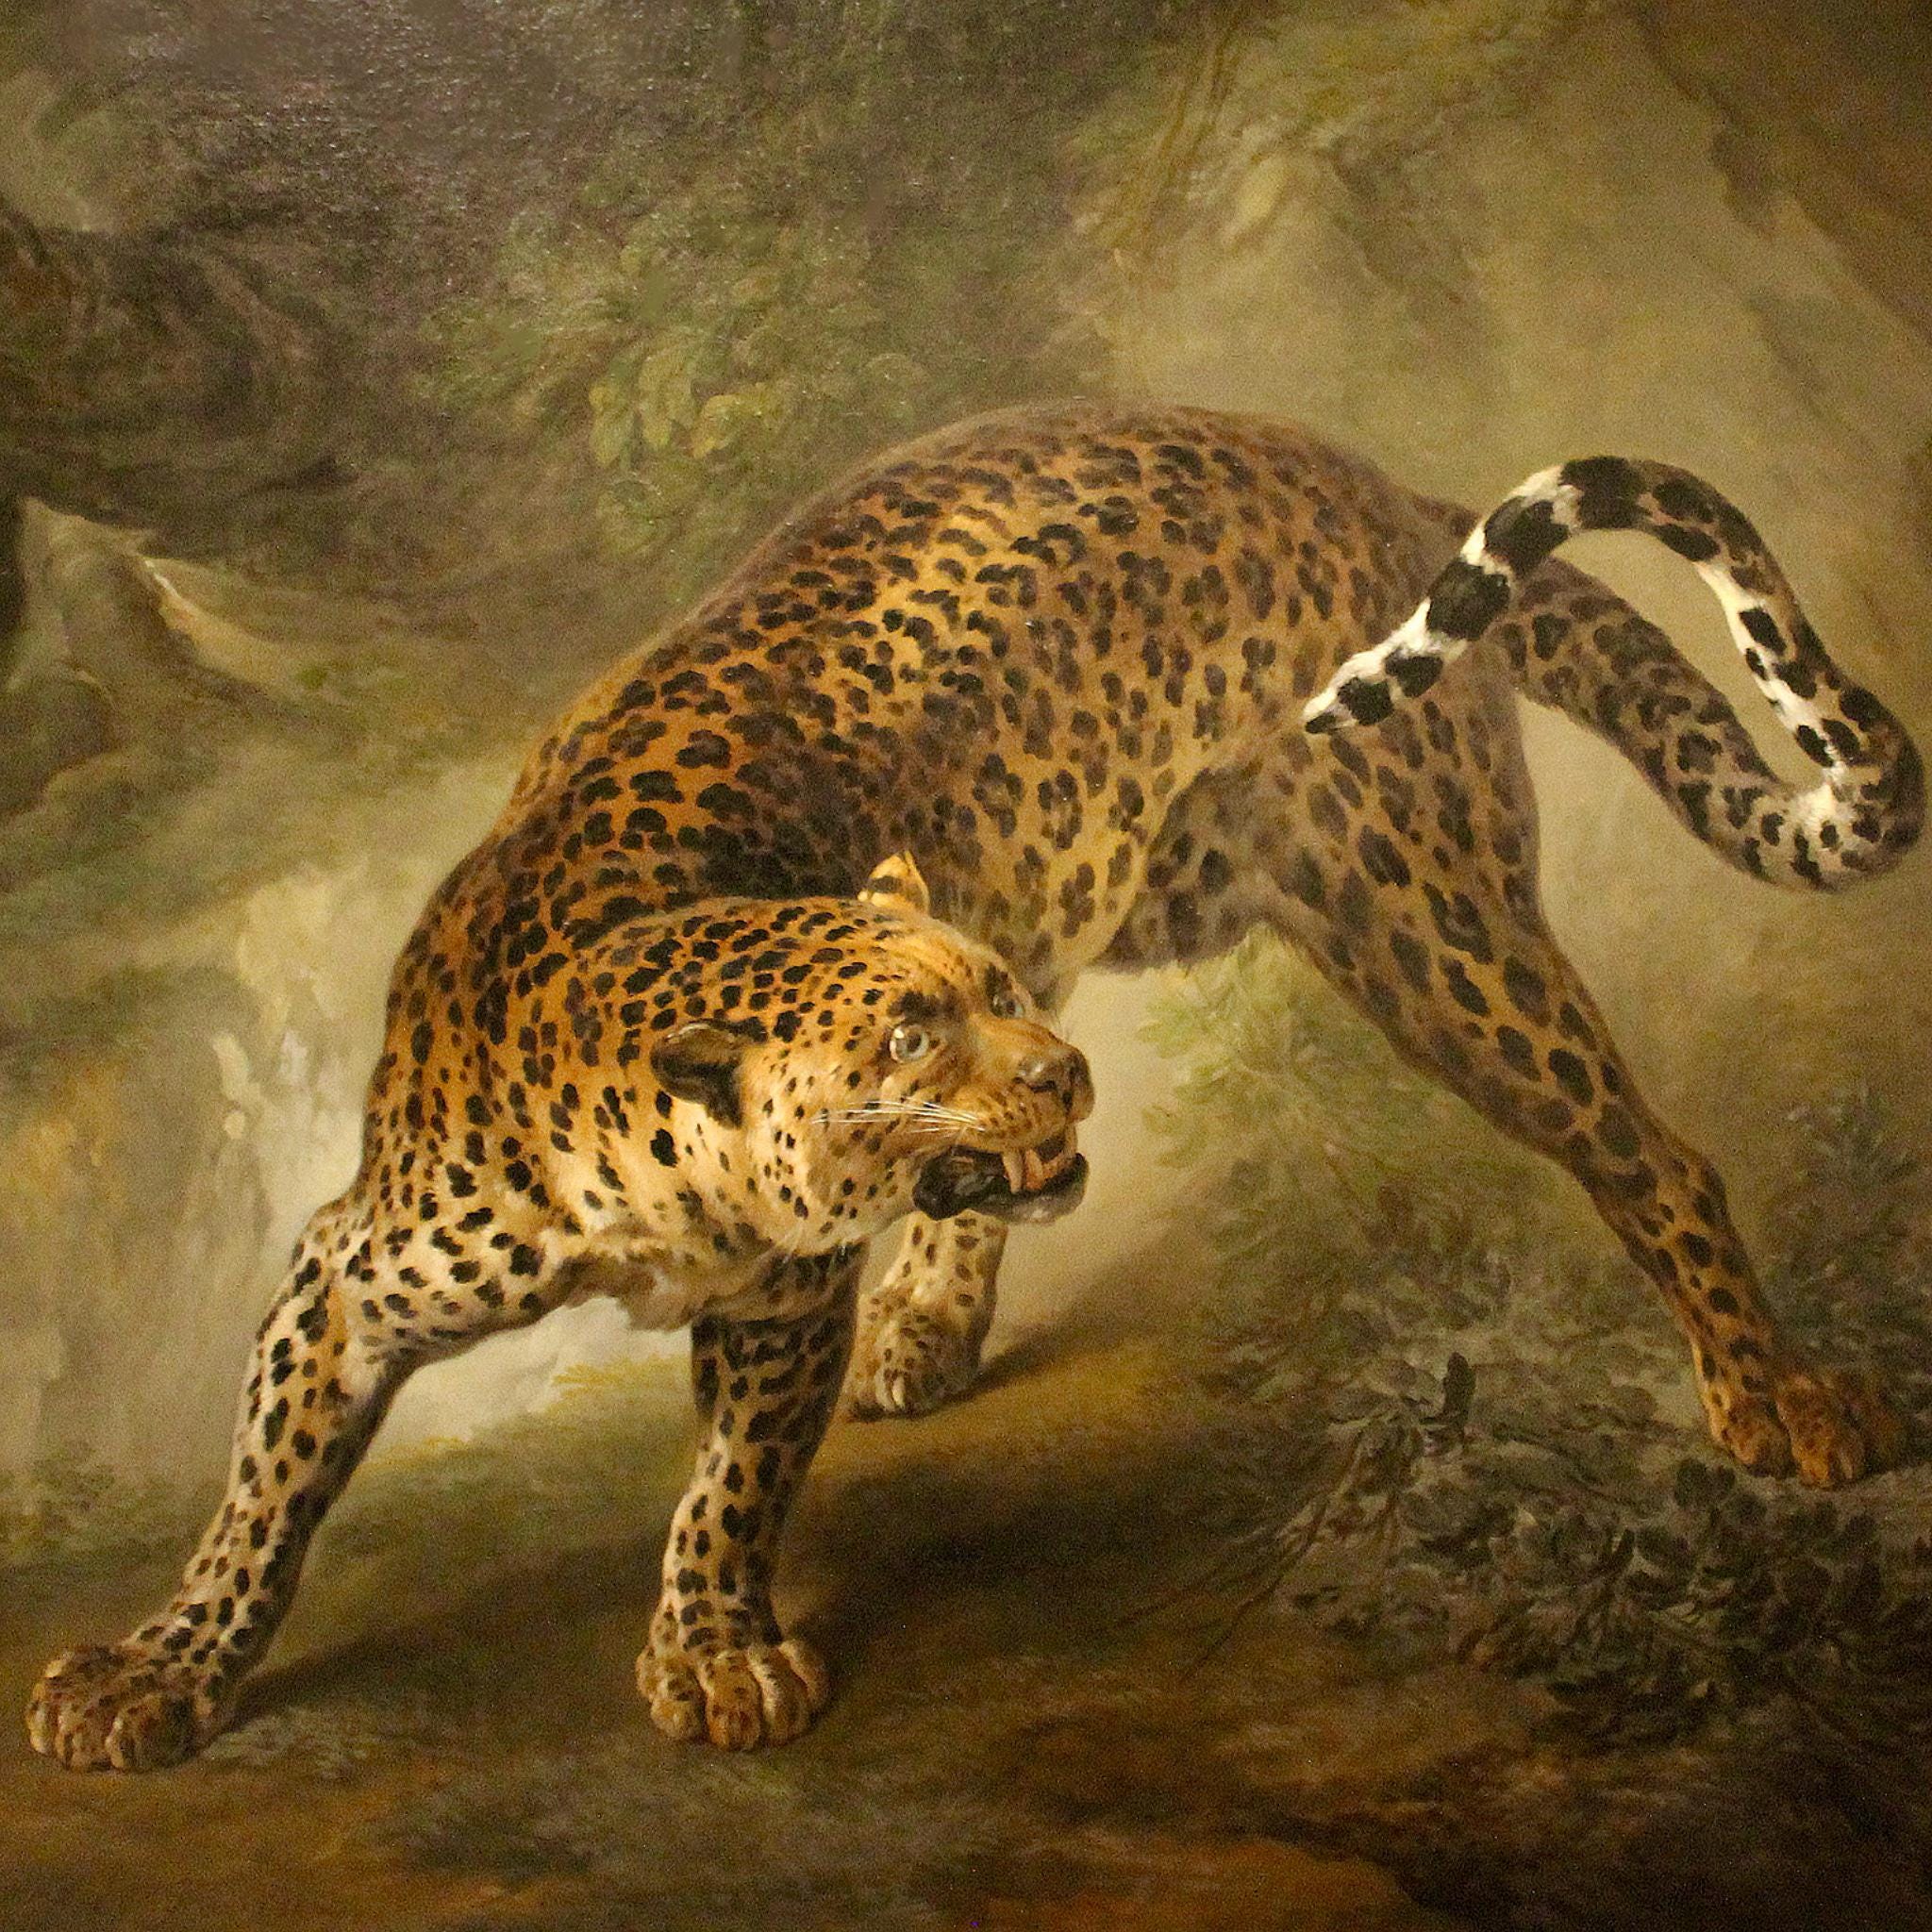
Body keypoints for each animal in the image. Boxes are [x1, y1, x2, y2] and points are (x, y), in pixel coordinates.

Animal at [28, 400, 1920, 1770]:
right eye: (909, 1040)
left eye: (981, 1004)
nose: (1065, 1072)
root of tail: (1370, 482)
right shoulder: (352, 1268)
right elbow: (260, 1495)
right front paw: (155, 1668)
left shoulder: (778, 1293)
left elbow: (727, 1488)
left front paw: (714, 1655)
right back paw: (928, 1327)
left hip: (1428, 926)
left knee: (1655, 1155)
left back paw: (1781, 1402)